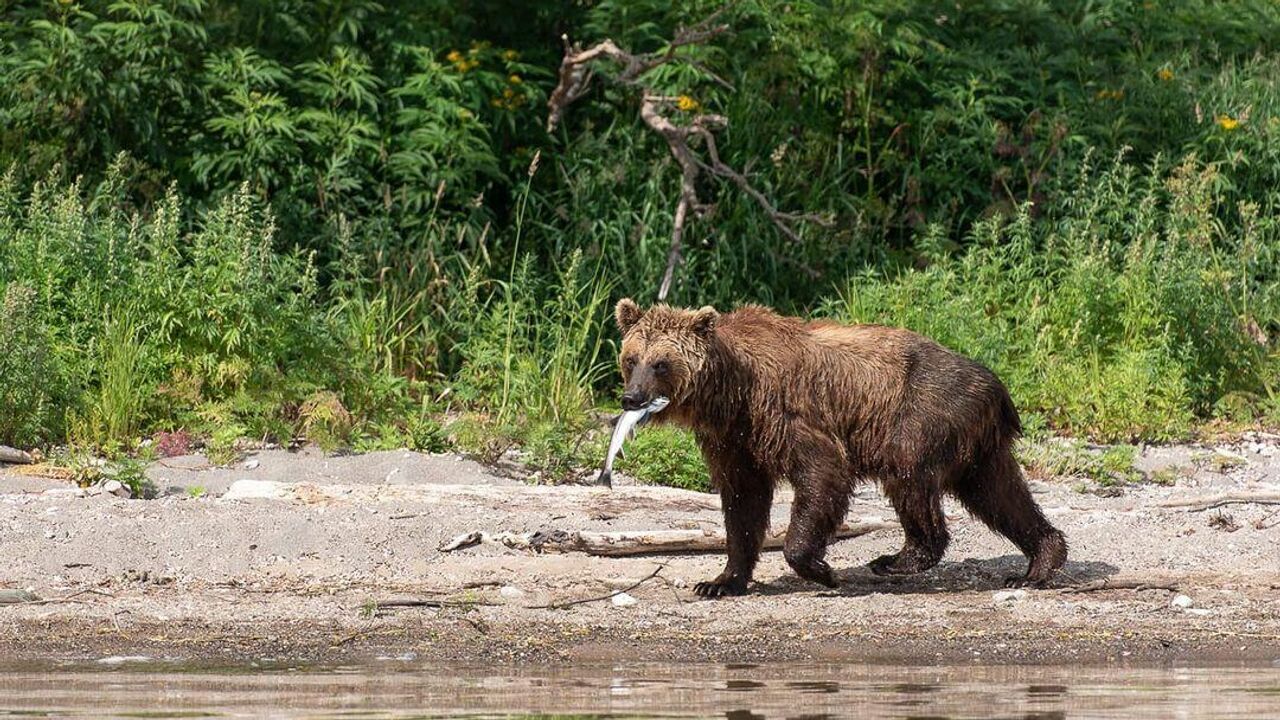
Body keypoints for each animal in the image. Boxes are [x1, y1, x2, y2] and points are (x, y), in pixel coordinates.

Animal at [614, 297, 1064, 594]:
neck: (729, 392)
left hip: (921, 414)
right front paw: (720, 581)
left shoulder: (786, 413)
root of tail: (998, 389)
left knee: (910, 477)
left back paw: (896, 559)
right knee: (1000, 495)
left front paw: (821, 569)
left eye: (661, 363)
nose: (631, 398)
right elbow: (742, 502)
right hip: (977, 445)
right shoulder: (734, 440)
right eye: (631, 358)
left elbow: (823, 472)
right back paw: (1039, 563)